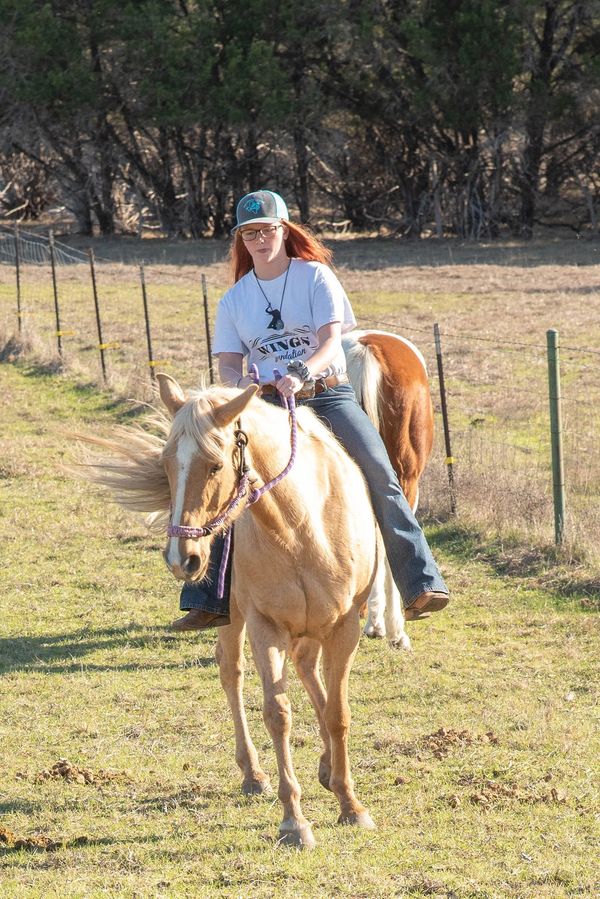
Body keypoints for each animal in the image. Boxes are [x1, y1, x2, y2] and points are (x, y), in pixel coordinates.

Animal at [81, 377, 384, 848]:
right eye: (166, 465)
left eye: (214, 465)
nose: (180, 558)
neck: (302, 527)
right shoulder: (265, 626)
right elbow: (277, 714)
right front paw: (294, 821)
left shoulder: (344, 628)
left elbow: (337, 713)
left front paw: (350, 804)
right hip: (236, 618)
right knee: (232, 672)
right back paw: (254, 774)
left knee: (307, 673)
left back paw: (326, 766)